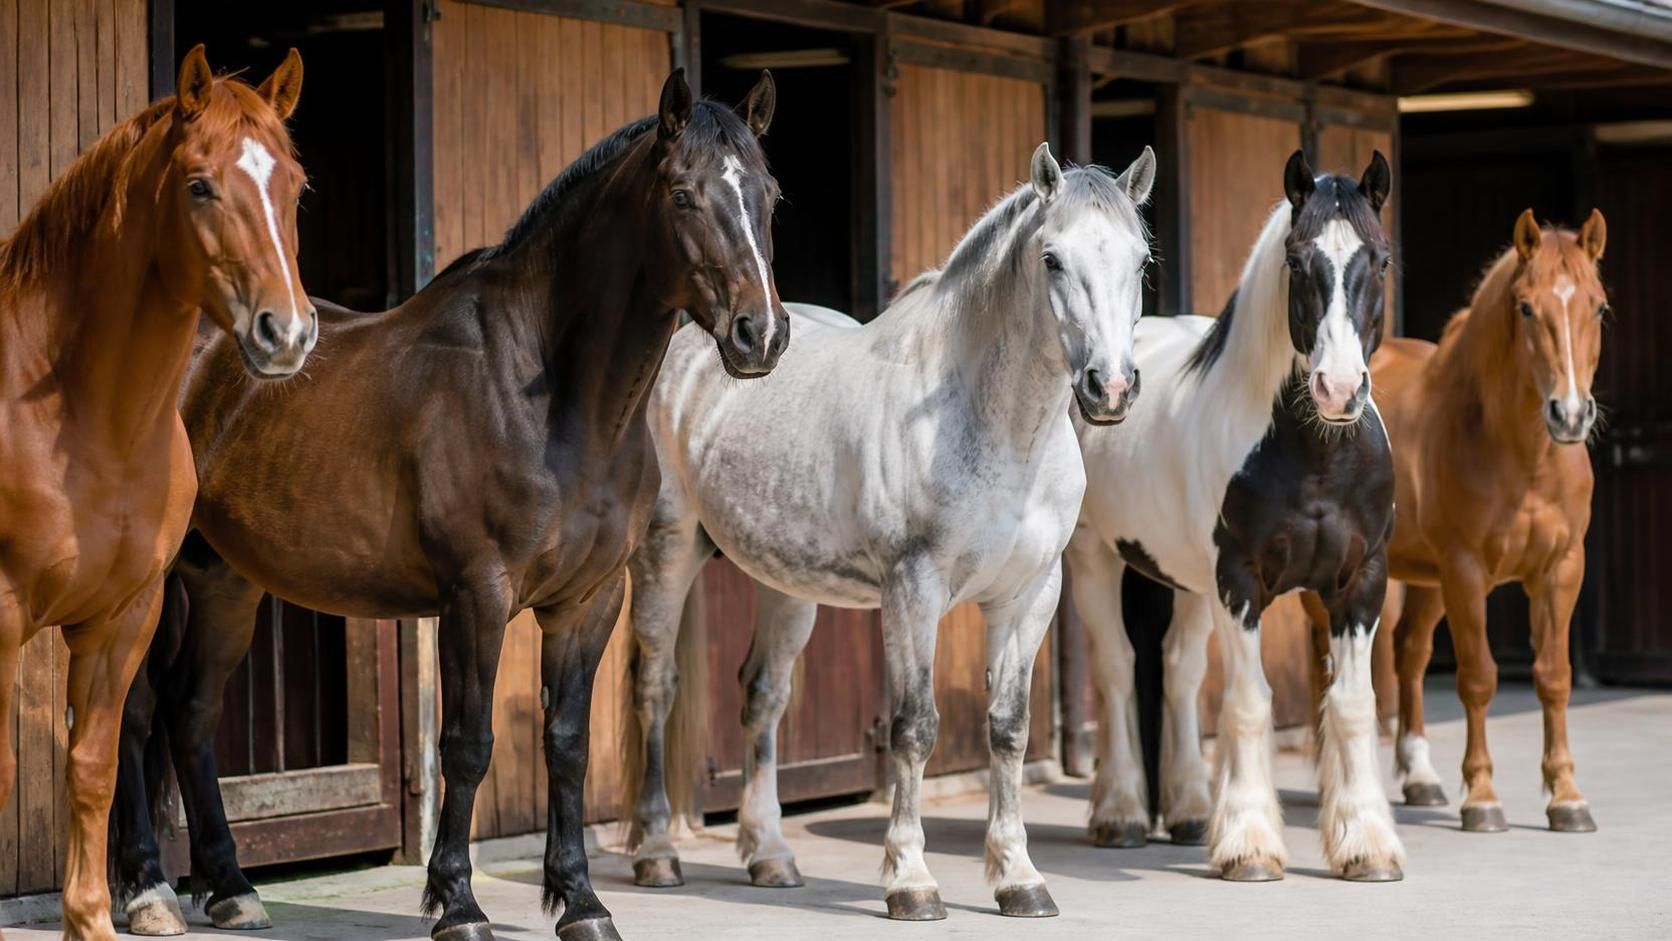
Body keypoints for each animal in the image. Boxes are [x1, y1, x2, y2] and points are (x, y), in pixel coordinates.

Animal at [0, 45, 312, 941]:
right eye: (200, 185)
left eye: (296, 186)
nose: (287, 332)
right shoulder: (2, 612)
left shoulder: (124, 615)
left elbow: (95, 764)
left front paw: (95, 916)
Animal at [108, 71, 787, 941]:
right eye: (682, 194)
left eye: (768, 195)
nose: (760, 334)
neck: (554, 397)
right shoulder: (477, 594)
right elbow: (466, 743)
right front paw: (458, 901)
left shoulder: (591, 599)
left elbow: (567, 743)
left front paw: (582, 900)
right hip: (158, 580)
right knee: (133, 713)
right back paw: (149, 890)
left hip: (226, 579)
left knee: (189, 713)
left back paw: (230, 887)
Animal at [623, 144, 1158, 920]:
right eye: (1052, 258)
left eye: (1141, 261)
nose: (1109, 388)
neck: (996, 425)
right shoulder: (914, 589)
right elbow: (914, 726)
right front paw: (911, 880)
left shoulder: (1030, 594)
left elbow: (1010, 729)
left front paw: (1020, 878)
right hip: (667, 550)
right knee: (656, 685)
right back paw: (657, 854)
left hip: (786, 583)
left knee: (763, 697)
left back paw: (771, 856)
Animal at [1065, 150, 1404, 882]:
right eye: (1297, 261)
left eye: (1381, 259)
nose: (1339, 389)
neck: (1315, 457)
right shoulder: (1241, 582)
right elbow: (1249, 705)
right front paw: (1250, 845)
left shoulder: (1361, 584)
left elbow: (1354, 705)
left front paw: (1367, 844)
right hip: (1095, 559)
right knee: (1117, 668)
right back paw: (1123, 814)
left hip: (1190, 581)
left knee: (1177, 669)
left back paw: (1191, 812)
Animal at [1365, 209, 1608, 834]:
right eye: (1525, 307)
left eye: (1598, 307)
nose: (1570, 415)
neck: (1524, 457)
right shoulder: (1466, 571)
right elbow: (1478, 678)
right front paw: (1481, 798)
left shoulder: (1562, 569)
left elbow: (1554, 676)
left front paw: (1567, 797)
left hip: (1425, 581)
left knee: (1409, 656)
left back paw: (1421, 778)